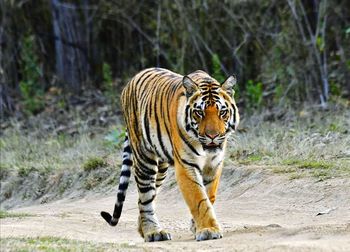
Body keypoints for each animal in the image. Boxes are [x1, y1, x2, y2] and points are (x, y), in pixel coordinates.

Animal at [100, 67, 239, 242]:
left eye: (222, 112)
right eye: (199, 113)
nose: (212, 136)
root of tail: (132, 80)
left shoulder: (214, 165)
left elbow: (209, 196)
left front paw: (197, 226)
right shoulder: (186, 166)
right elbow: (199, 199)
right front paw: (208, 230)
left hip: (161, 168)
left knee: (147, 197)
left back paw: (143, 229)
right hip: (144, 158)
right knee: (145, 198)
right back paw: (153, 232)